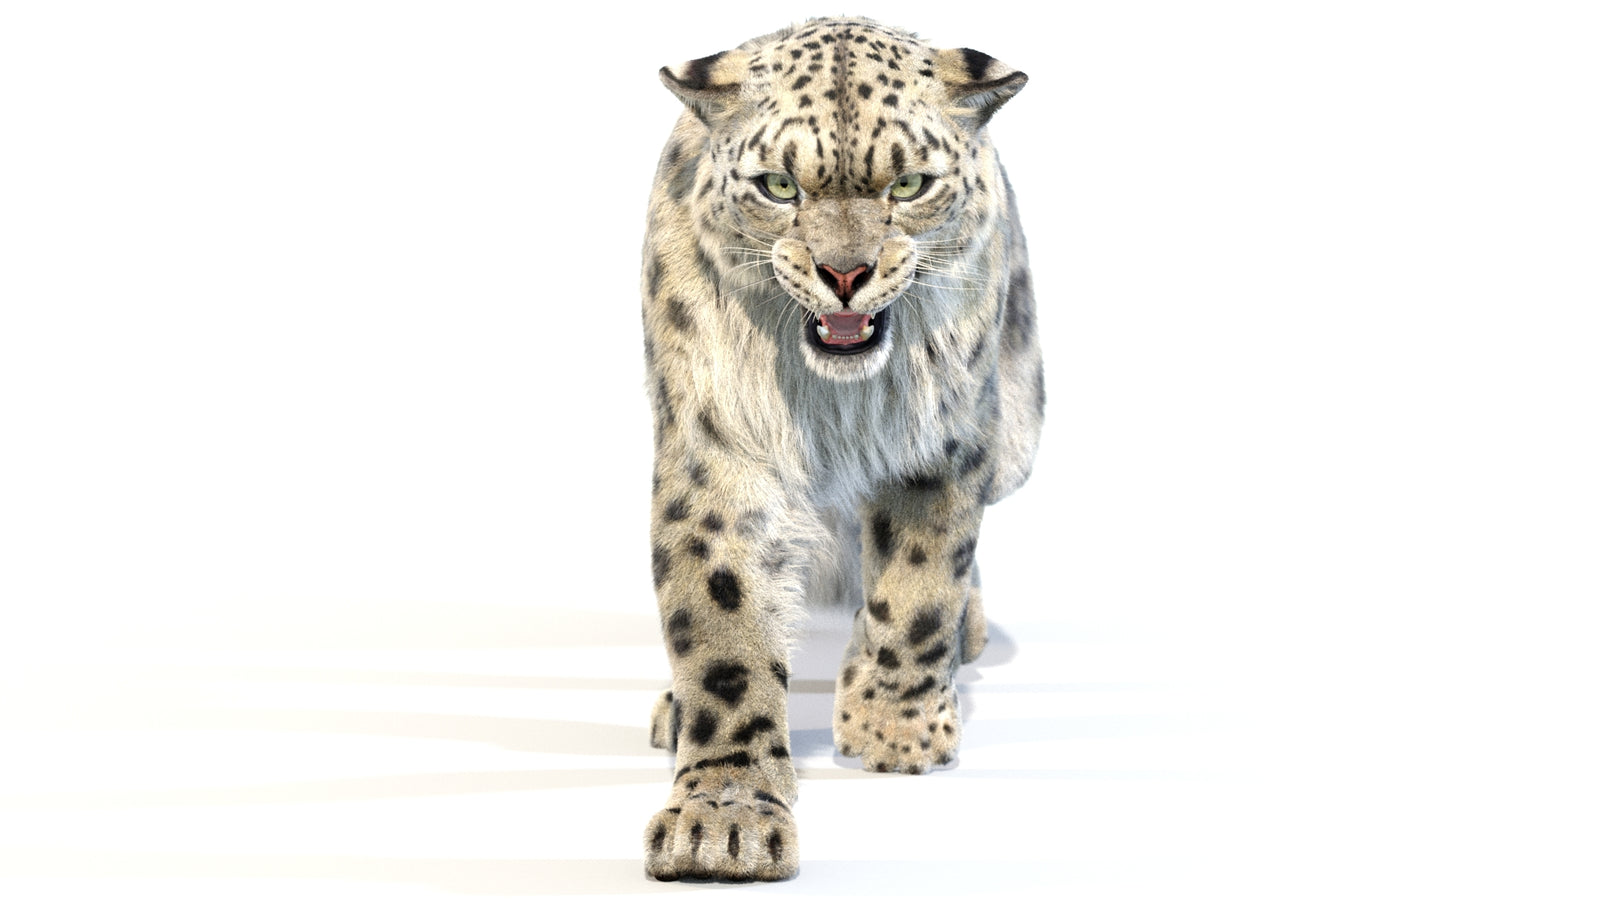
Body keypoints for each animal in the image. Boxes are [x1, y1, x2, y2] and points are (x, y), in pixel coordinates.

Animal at [639, 16, 1043, 881]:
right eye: (778, 186)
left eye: (909, 185)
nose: (845, 273)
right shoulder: (717, 455)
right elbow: (724, 633)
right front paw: (721, 820)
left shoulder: (941, 439)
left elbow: (920, 585)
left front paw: (895, 731)